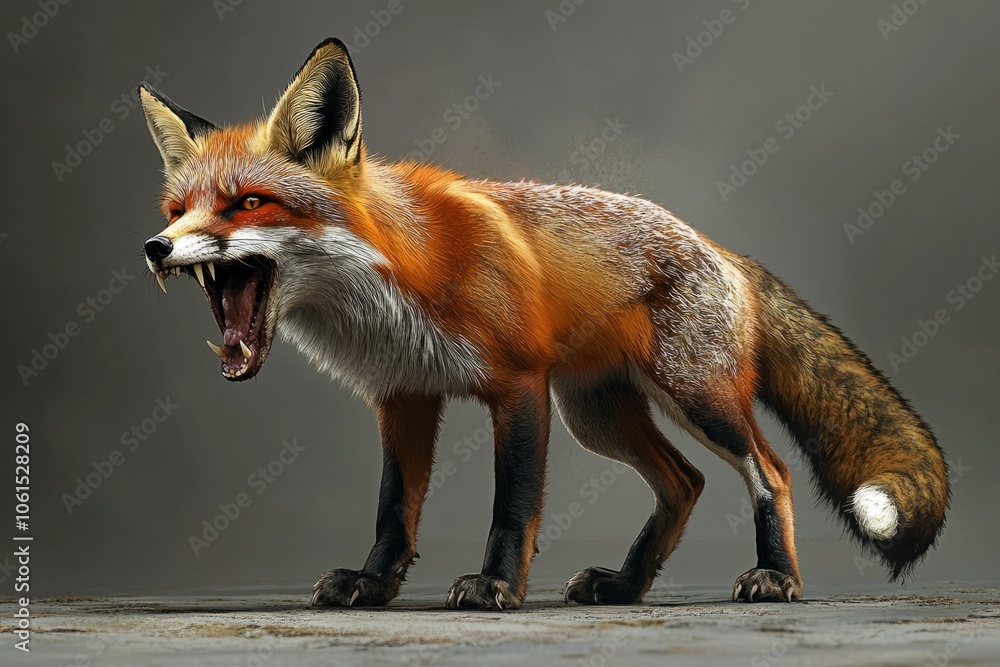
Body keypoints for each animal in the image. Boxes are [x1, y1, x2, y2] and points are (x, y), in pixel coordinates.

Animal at [138, 38, 949, 610]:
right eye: (178, 210)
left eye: (248, 204)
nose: (156, 247)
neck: (396, 277)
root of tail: (723, 248)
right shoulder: (405, 395)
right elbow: (393, 511)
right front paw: (373, 585)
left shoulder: (519, 385)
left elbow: (513, 503)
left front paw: (496, 588)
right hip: (598, 414)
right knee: (684, 482)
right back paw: (624, 585)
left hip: (695, 398)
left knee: (769, 472)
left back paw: (775, 578)